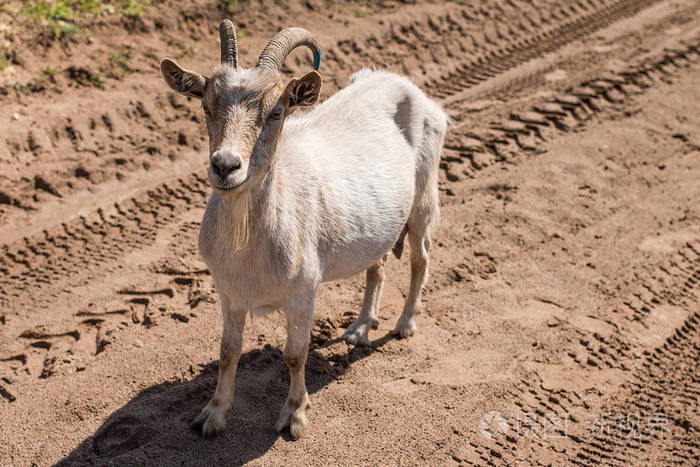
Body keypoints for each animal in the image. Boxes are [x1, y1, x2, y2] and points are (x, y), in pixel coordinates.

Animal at [160, 21, 448, 438]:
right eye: (205, 106)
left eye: (276, 111)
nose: (226, 166)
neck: (249, 247)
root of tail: (404, 85)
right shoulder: (229, 292)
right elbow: (228, 352)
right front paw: (212, 416)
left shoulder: (302, 292)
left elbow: (295, 355)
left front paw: (294, 416)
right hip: (379, 223)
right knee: (377, 267)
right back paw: (360, 328)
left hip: (424, 196)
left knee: (420, 259)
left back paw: (405, 323)